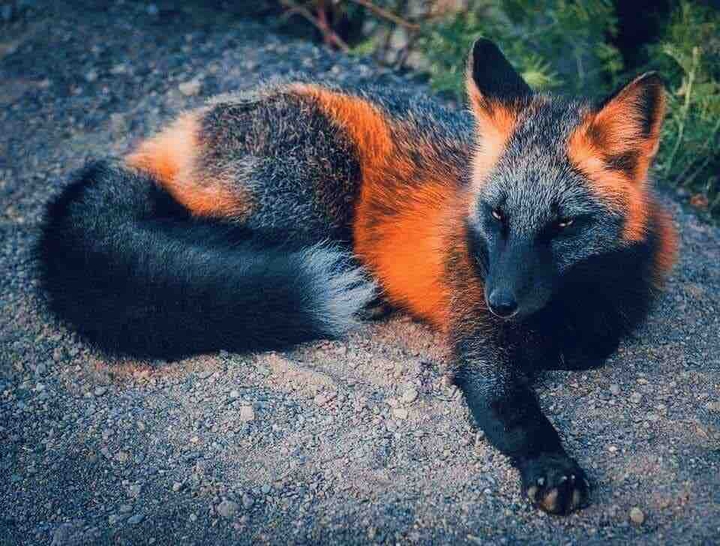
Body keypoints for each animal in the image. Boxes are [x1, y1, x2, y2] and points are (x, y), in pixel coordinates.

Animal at [38, 39, 677, 515]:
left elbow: (592, 345)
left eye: (563, 225)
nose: (500, 301)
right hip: (316, 191)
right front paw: (552, 465)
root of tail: (181, 125)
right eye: (497, 215)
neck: (569, 304)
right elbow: (514, 411)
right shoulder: (477, 340)